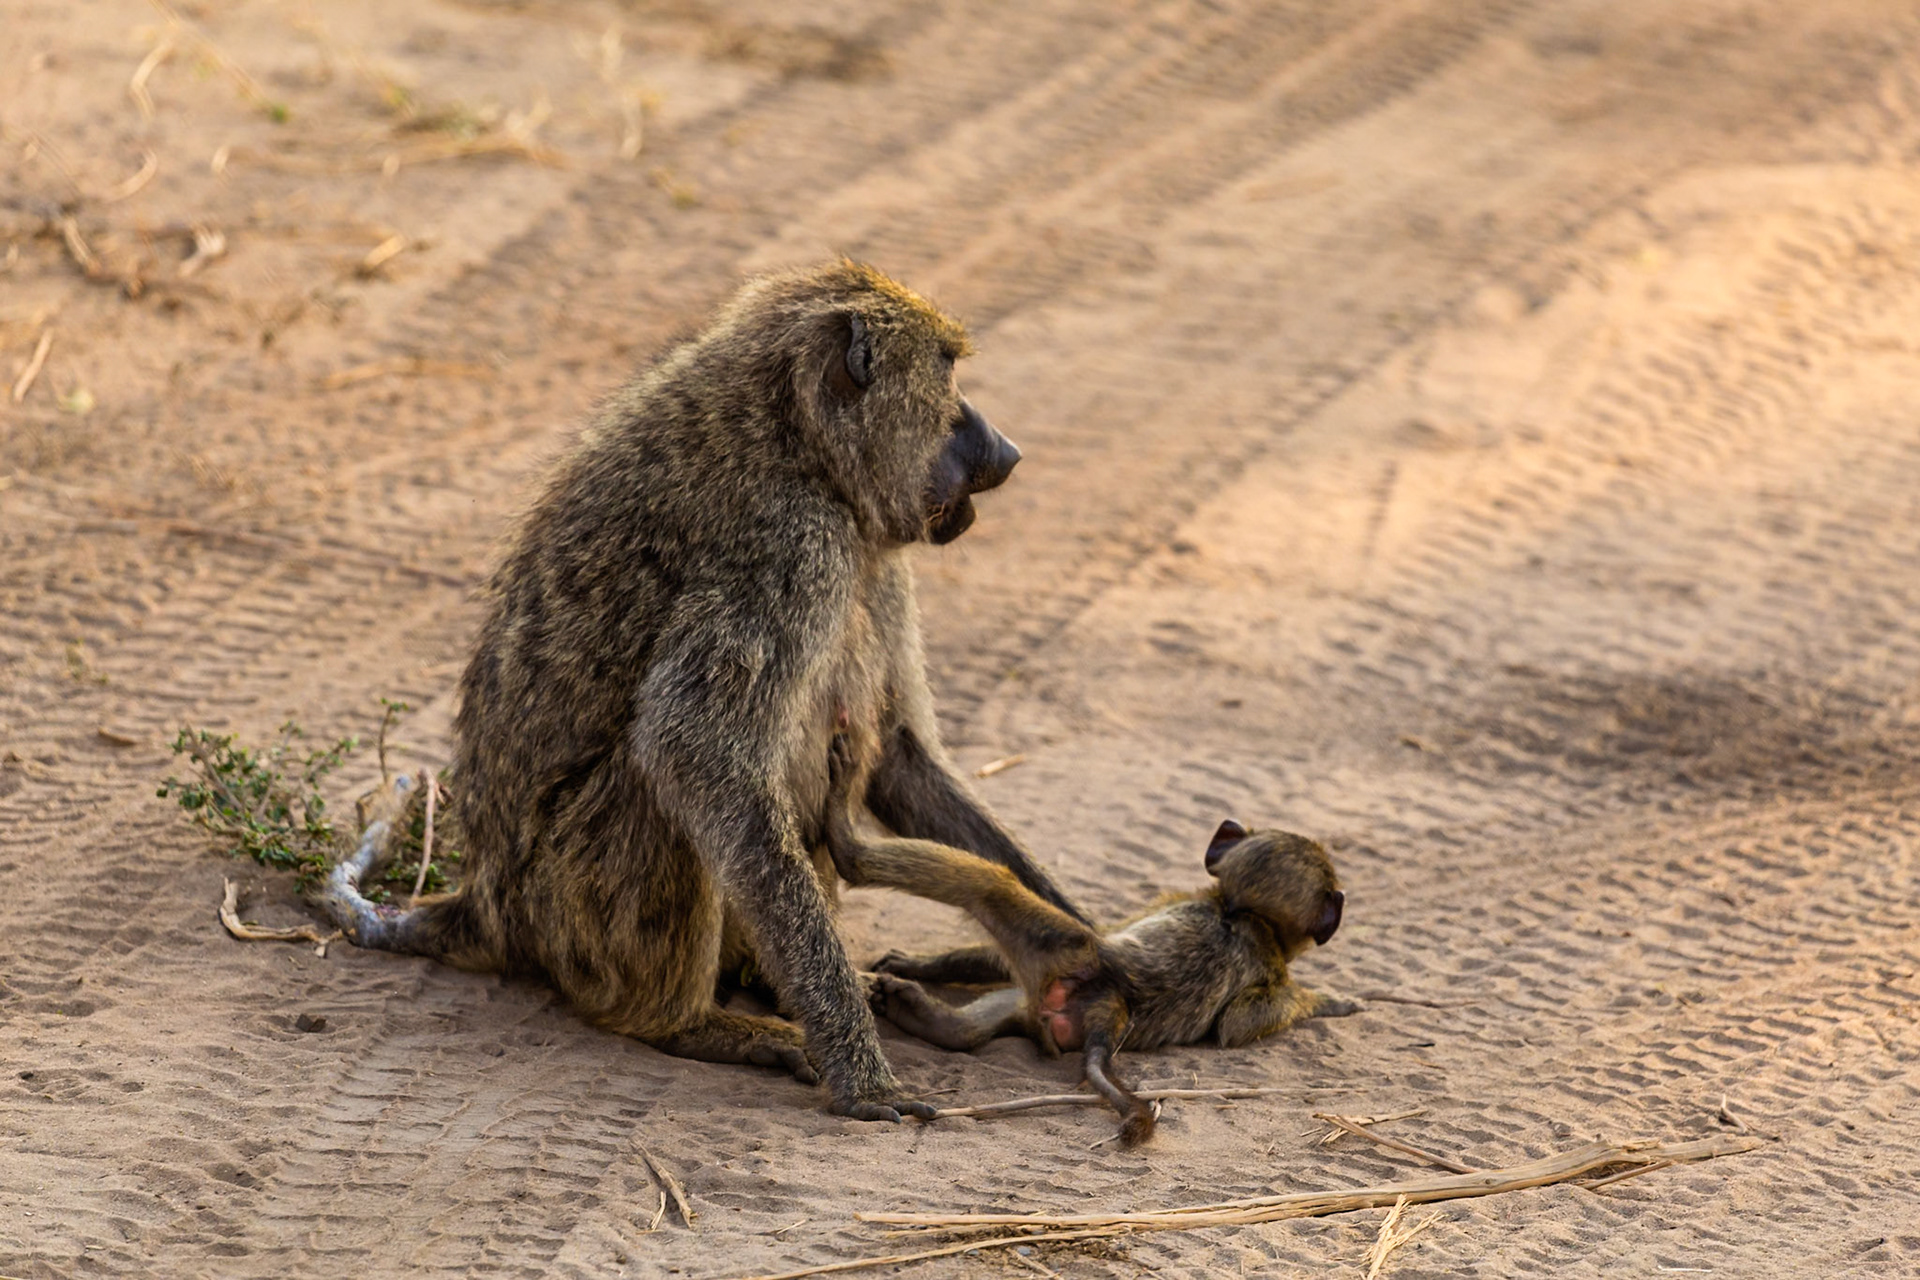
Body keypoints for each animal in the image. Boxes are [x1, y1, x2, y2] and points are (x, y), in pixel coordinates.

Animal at [318, 261, 1087, 1123]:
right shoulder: (793, 541)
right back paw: (693, 1024)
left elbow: (897, 755)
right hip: (571, 915)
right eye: (948, 372)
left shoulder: (870, 553)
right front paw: (863, 1077)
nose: (1007, 450)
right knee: (660, 787)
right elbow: (696, 755)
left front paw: (1092, 939)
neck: (793, 436)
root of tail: (485, 905)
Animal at [820, 733, 1359, 1144]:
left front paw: (1330, 1001)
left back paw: (847, 844)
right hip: (1068, 965)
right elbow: (1236, 1025)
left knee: (991, 887)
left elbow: (1238, 1026)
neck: (1245, 913)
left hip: (1066, 955)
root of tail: (1112, 1009)